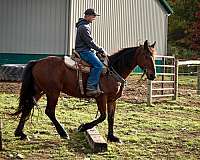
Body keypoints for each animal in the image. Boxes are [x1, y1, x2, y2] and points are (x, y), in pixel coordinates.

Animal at [12, 40, 156, 142]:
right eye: (146, 55)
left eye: (154, 55)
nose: (153, 75)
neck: (113, 70)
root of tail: (37, 62)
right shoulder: (101, 97)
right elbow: (103, 116)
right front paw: (83, 127)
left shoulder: (112, 100)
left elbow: (111, 117)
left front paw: (112, 137)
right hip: (53, 92)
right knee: (49, 111)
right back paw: (63, 133)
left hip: (39, 90)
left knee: (27, 107)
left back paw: (20, 133)